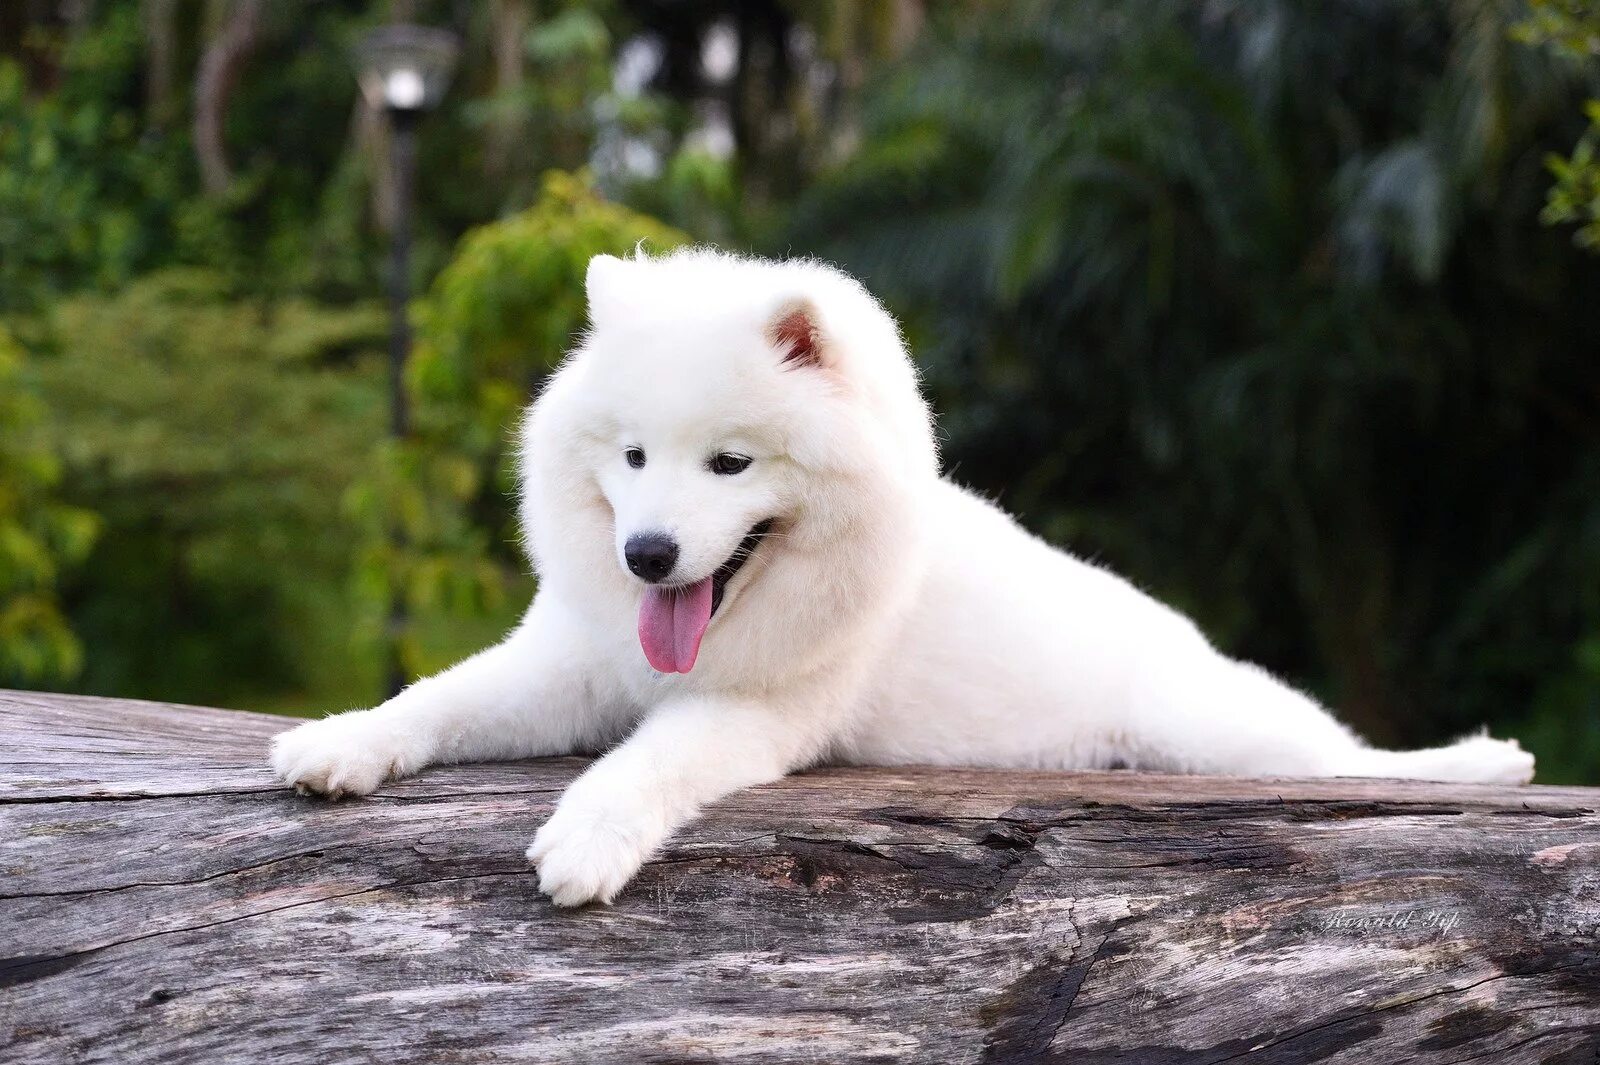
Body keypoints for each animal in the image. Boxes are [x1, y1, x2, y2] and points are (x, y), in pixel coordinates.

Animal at [275, 244, 1536, 901]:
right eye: (631, 458)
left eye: (730, 462)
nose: (648, 554)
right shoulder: (567, 668)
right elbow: (437, 698)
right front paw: (339, 741)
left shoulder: (757, 711)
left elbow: (646, 764)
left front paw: (588, 839)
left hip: (1217, 733)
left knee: (1351, 760)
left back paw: (1482, 760)